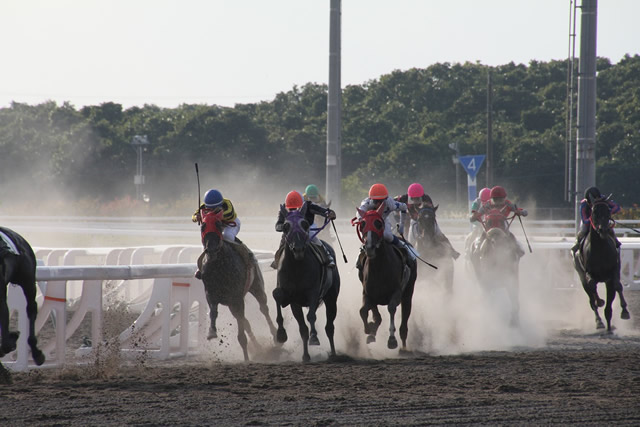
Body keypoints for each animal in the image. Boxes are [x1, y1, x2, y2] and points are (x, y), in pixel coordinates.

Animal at [200, 211, 278, 362]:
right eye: (203, 226)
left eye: (218, 224)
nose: (211, 250)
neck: (219, 266)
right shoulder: (211, 295)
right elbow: (213, 312)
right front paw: (211, 332)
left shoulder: (237, 298)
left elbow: (241, 335)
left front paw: (246, 359)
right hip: (231, 305)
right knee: (245, 321)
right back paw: (258, 348)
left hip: (257, 287)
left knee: (263, 309)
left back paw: (277, 337)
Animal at [272, 206, 340, 362]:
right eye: (286, 226)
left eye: (305, 224)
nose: (298, 249)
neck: (297, 267)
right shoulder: (292, 298)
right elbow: (302, 327)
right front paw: (282, 335)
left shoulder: (313, 292)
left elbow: (311, 316)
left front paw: (314, 337)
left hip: (331, 298)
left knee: (330, 327)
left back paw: (334, 354)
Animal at [352, 204, 418, 352]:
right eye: (362, 224)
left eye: (378, 223)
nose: (369, 247)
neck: (379, 269)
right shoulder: (368, 293)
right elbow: (364, 311)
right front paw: (369, 330)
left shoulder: (397, 292)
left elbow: (391, 308)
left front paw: (392, 340)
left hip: (408, 293)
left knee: (404, 322)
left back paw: (403, 347)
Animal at [576, 197, 632, 332]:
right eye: (594, 212)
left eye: (608, 211)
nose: (604, 230)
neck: (600, 249)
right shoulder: (588, 273)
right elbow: (592, 285)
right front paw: (599, 302)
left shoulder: (612, 273)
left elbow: (617, 286)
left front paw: (623, 313)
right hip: (581, 276)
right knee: (591, 298)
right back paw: (599, 321)